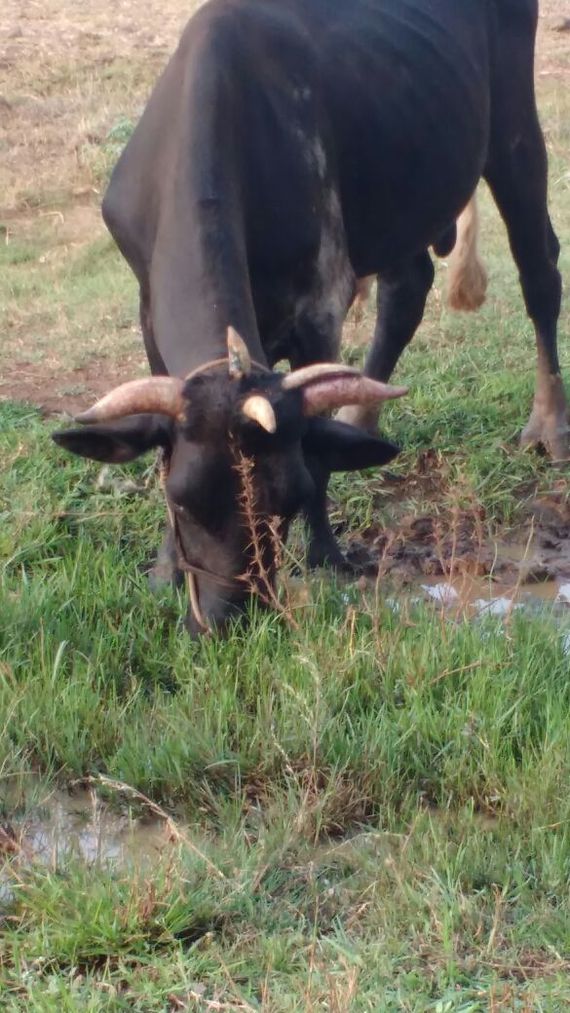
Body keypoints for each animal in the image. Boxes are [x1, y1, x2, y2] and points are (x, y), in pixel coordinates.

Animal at [52, 0, 562, 632]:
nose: (227, 617)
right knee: (407, 289)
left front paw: (325, 554)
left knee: (539, 268)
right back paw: (360, 419)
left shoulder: (321, 302)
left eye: (287, 503)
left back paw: (549, 425)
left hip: (513, 129)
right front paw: (165, 571)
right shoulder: (148, 312)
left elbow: (315, 447)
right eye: (182, 500)